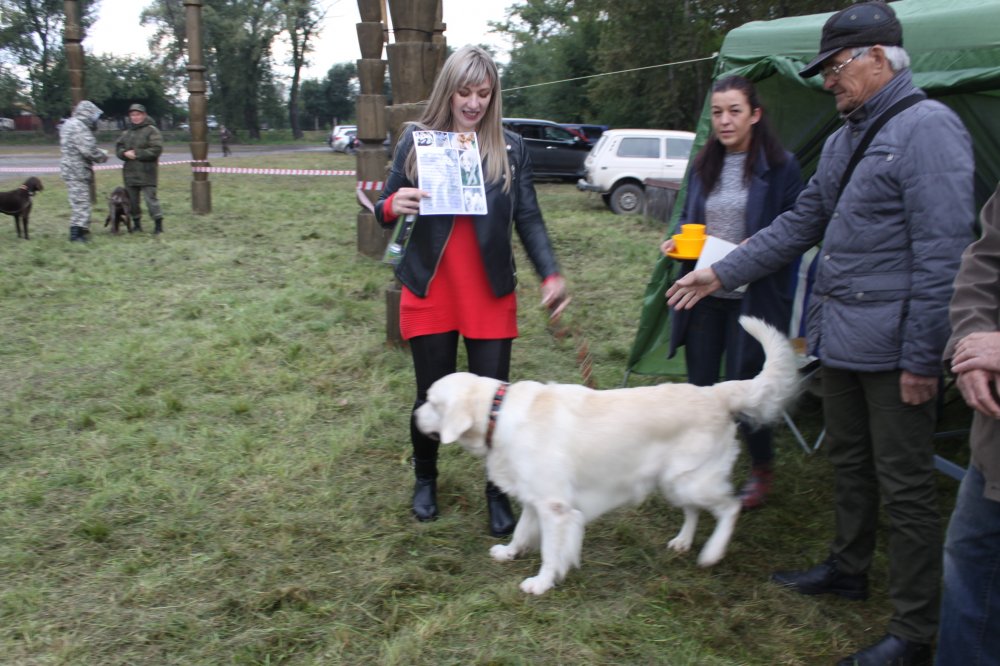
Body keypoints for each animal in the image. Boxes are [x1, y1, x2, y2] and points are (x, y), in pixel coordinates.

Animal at [415, 316, 799, 595]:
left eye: (431, 402)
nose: (414, 416)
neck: (499, 412)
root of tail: (716, 392)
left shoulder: (556, 508)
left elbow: (551, 551)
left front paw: (541, 583)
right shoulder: (535, 498)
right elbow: (522, 531)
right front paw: (510, 552)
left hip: (693, 480)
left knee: (730, 507)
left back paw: (712, 552)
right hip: (676, 480)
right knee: (694, 511)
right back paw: (683, 541)